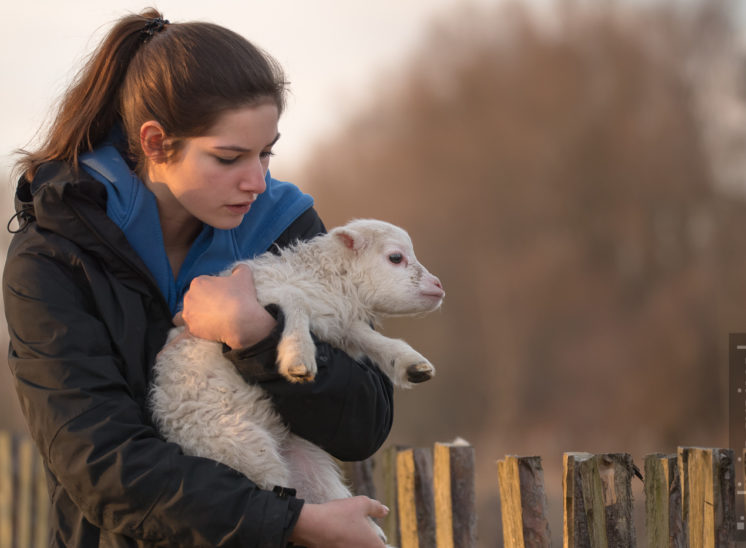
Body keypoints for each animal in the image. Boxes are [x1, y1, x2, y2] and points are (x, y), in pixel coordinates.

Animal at [148, 217, 444, 536]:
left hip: (308, 465)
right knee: (277, 490)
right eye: (395, 257)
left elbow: (363, 333)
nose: (438, 286)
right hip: (241, 446)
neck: (326, 279)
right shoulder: (260, 295)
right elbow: (295, 300)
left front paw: (409, 363)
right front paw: (297, 357)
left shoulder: (333, 318)